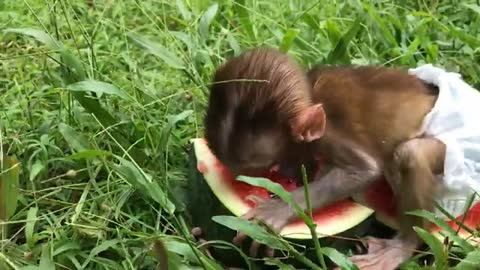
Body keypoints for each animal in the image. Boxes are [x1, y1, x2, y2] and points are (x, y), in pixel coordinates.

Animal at [203, 47, 446, 268]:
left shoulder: (329, 136)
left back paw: (403, 246)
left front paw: (276, 210)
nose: (289, 179)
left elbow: (363, 171)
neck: (313, 97)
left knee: (412, 153)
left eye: (272, 169)